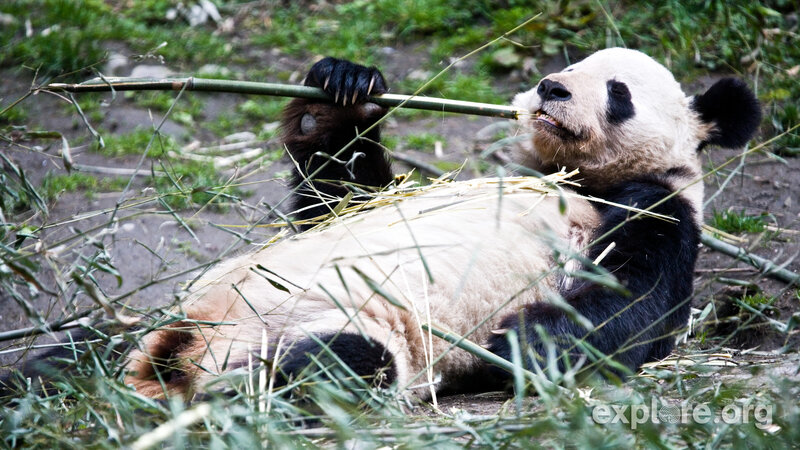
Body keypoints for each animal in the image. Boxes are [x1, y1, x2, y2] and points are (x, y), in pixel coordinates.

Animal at [122, 48, 760, 398]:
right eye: (568, 66)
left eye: (617, 91)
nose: (552, 87)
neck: (568, 174)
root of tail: (174, 353)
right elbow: (342, 196)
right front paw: (340, 89)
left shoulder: (659, 205)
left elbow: (635, 299)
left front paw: (526, 340)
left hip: (337, 326)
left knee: (336, 363)